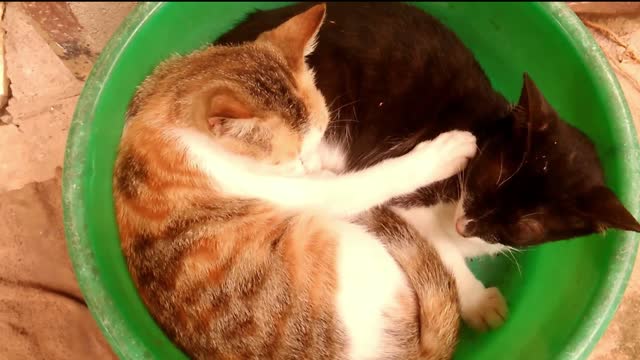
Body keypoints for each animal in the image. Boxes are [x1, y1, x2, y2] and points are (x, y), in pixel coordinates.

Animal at [112, 3, 478, 360]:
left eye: (319, 138)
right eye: (294, 158)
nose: (311, 164)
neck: (173, 115)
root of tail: (413, 351)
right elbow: (373, 179)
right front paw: (444, 152)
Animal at [216, 1, 640, 332]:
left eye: (525, 227)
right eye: (486, 175)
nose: (465, 225)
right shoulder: (406, 197)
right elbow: (439, 245)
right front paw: (477, 300)